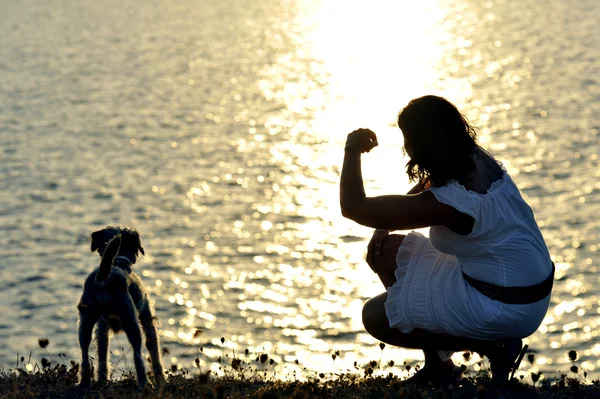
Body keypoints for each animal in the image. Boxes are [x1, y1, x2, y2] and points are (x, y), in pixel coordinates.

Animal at [78, 227, 166, 390]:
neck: (118, 261)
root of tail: (104, 277)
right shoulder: (147, 318)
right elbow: (154, 351)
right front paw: (162, 380)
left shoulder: (102, 328)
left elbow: (102, 357)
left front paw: (102, 380)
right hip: (131, 321)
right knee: (138, 357)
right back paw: (144, 383)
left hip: (85, 323)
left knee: (84, 355)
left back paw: (85, 383)